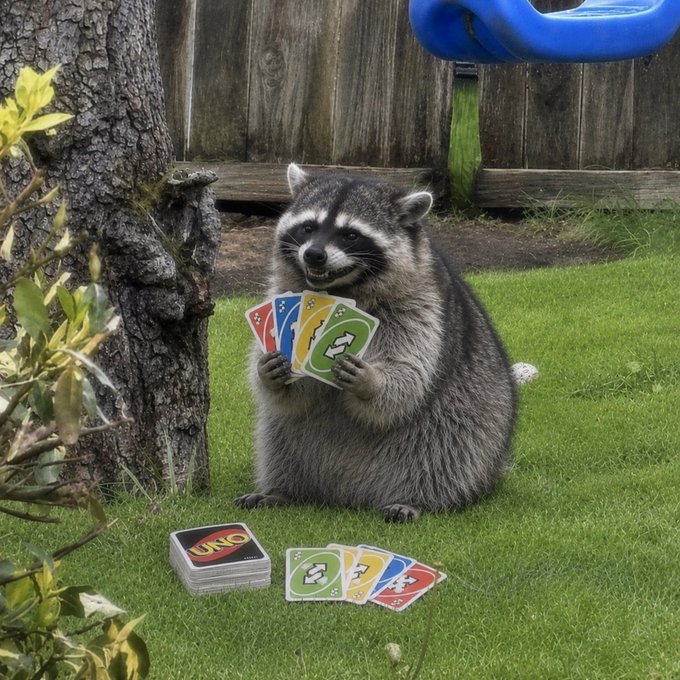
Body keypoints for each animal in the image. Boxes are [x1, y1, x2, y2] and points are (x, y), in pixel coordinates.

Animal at [235, 164, 517, 522]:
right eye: (308, 227)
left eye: (351, 234)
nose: (313, 254)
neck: (340, 288)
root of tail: (347, 494)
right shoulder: (281, 291)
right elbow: (290, 394)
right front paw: (269, 370)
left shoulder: (420, 306)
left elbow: (409, 376)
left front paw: (371, 381)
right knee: (278, 435)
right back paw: (282, 490)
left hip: (476, 420)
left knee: (445, 453)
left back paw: (418, 498)